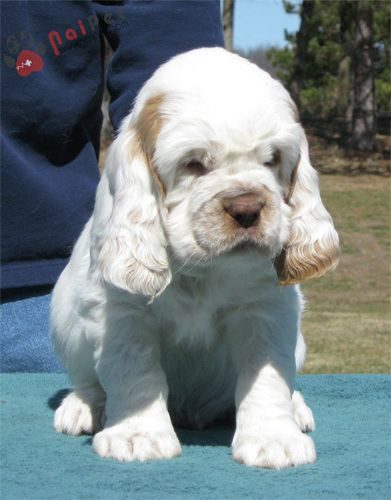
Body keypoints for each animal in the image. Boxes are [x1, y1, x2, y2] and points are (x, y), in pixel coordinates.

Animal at [51, 47, 340, 468]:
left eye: (272, 159)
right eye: (194, 163)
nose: (247, 209)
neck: (203, 269)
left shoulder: (266, 310)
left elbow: (266, 376)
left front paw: (274, 439)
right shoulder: (122, 311)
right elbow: (134, 371)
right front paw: (138, 435)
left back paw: (297, 408)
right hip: (65, 322)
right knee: (88, 379)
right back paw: (82, 407)